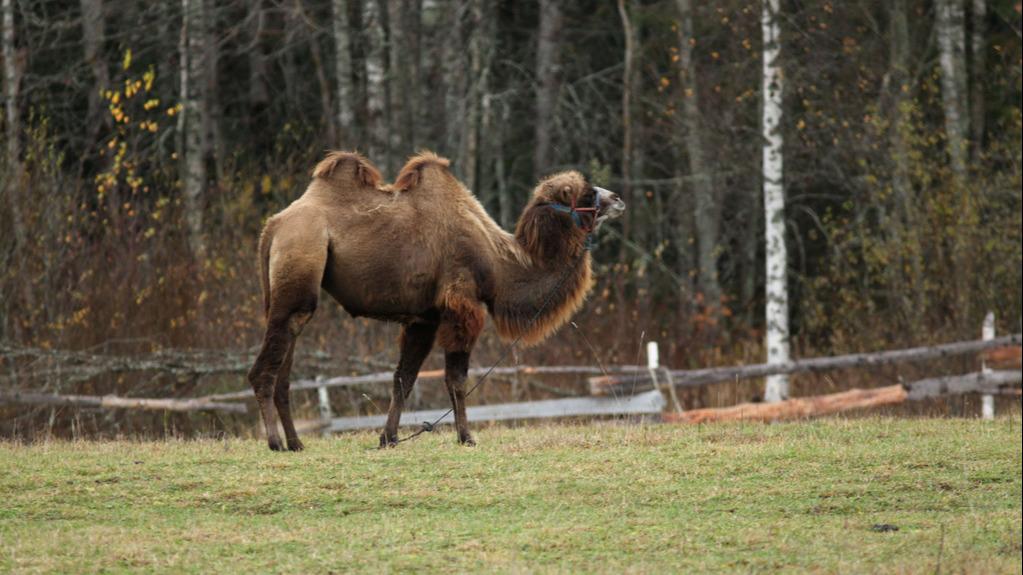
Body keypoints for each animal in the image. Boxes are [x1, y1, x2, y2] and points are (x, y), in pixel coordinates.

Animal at [246, 151, 621, 448]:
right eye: (585, 192)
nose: (617, 198)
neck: (498, 264)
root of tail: (272, 227)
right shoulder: (462, 305)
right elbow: (456, 378)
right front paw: (466, 437)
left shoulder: (424, 318)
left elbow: (403, 379)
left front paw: (388, 438)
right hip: (301, 258)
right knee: (264, 368)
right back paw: (275, 442)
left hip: (291, 283)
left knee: (284, 367)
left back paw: (296, 442)